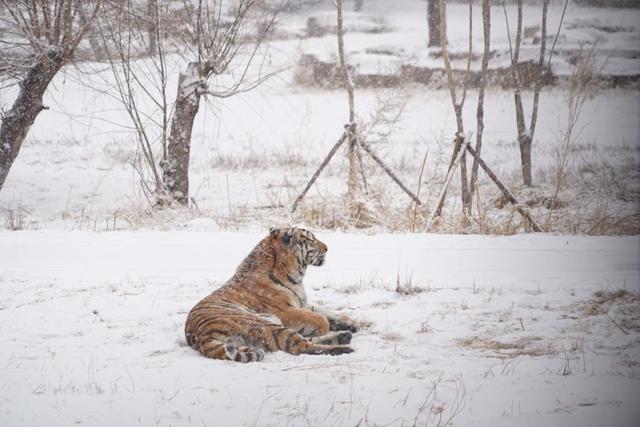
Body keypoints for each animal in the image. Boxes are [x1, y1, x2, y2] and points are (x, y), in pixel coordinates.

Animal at [184, 226, 360, 362]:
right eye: (311, 239)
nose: (327, 248)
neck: (295, 275)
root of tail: (199, 335)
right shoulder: (286, 311)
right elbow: (322, 319)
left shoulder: (302, 303)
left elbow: (328, 313)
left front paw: (352, 323)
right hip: (264, 324)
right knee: (299, 345)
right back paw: (343, 348)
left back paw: (344, 335)